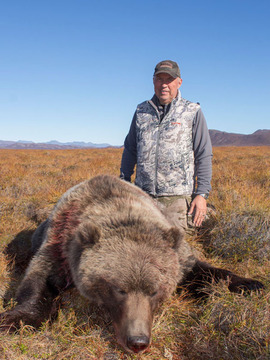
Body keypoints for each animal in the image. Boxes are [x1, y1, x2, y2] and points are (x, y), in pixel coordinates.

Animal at [0, 176, 264, 352]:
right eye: (119, 289)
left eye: (155, 291)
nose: (137, 341)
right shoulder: (61, 243)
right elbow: (38, 280)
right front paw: (12, 319)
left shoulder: (177, 254)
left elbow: (200, 271)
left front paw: (249, 284)